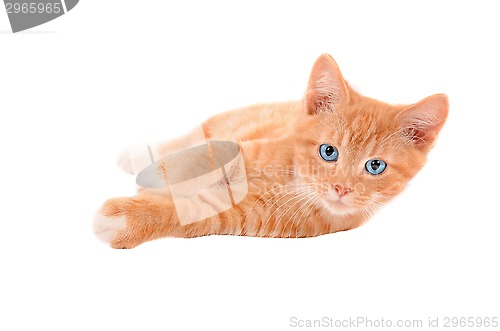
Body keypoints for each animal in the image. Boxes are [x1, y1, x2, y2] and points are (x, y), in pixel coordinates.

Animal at [94, 53, 450, 249]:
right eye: (328, 152)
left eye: (375, 166)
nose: (340, 188)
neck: (292, 181)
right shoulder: (234, 150)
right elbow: (193, 160)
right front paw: (156, 178)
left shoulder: (242, 213)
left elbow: (193, 210)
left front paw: (128, 218)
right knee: (194, 135)